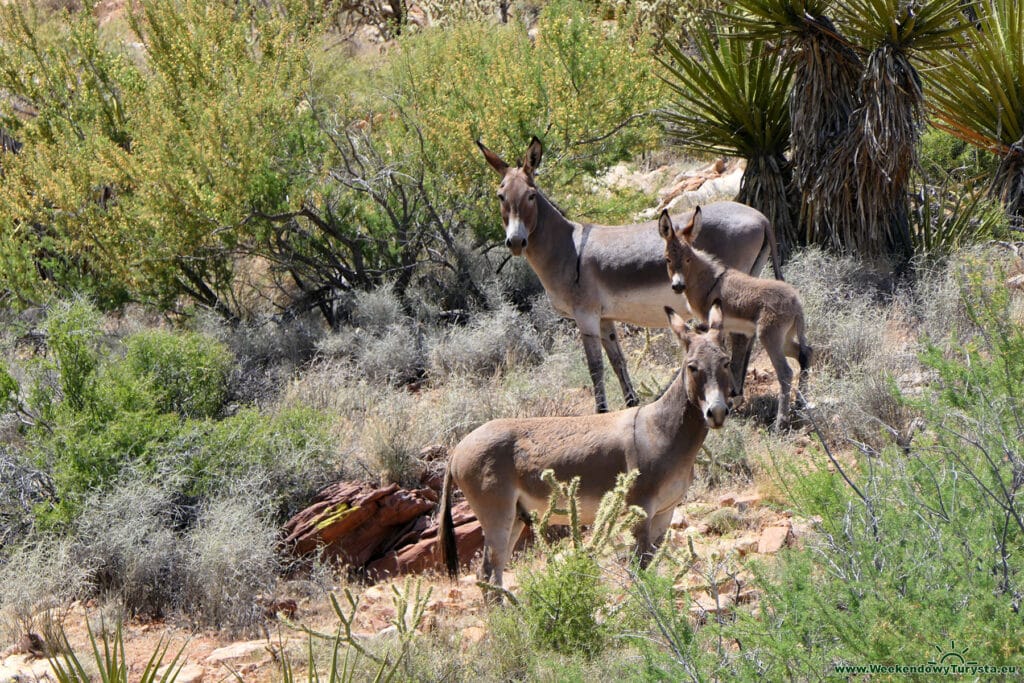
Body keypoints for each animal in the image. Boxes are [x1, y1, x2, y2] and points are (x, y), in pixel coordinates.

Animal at [659, 210, 811, 430]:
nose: (678, 286)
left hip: (769, 338)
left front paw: (731, 395)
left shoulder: (714, 326)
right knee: (805, 354)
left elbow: (725, 356)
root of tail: (796, 301)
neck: (708, 281)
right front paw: (733, 395)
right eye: (668, 259)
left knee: (786, 373)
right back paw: (800, 405)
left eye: (688, 259)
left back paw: (781, 423)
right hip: (785, 339)